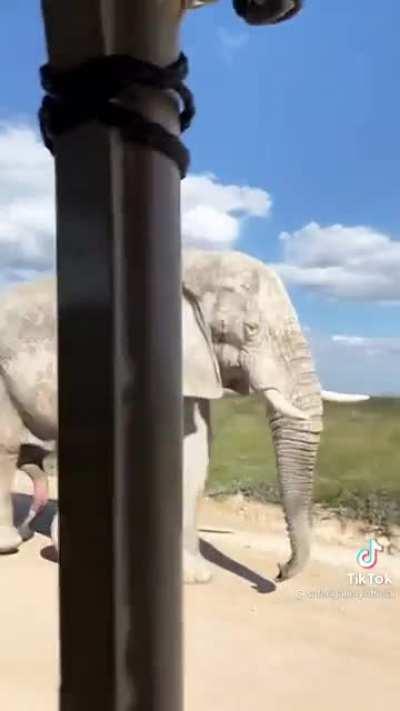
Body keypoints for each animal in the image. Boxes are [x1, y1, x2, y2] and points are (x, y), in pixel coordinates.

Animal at [0, 249, 368, 581]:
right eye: (250, 330)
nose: (279, 570)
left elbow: (193, 454)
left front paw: (192, 575)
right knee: (6, 447)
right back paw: (10, 544)